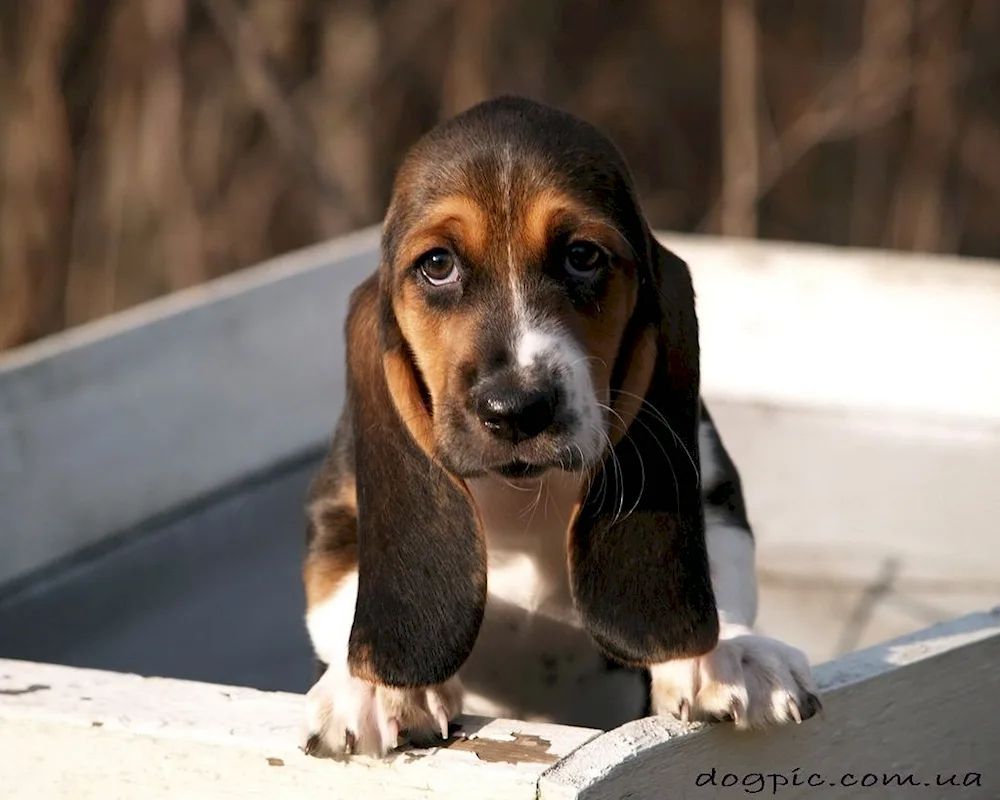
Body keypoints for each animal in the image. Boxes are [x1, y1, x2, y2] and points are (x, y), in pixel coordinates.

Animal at [300, 95, 816, 756]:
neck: (525, 491)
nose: (515, 407)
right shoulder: (339, 512)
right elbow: (340, 589)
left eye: (583, 256)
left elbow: (720, 565)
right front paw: (376, 686)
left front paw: (728, 652)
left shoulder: (712, 486)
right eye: (437, 264)